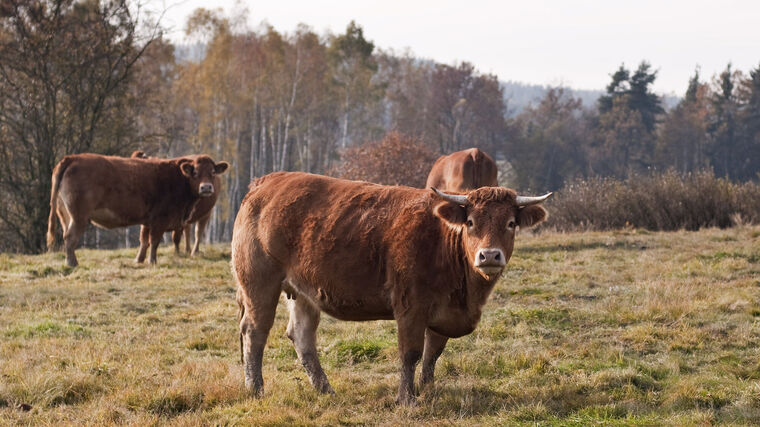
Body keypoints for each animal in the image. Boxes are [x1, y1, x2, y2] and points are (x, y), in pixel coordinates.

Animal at [47, 154, 229, 268]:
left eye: (213, 172)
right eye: (195, 172)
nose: (206, 187)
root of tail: (72, 158)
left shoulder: (148, 220)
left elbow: (144, 240)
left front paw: (139, 260)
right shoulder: (160, 219)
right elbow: (154, 241)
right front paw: (152, 261)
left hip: (65, 214)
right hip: (79, 215)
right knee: (70, 237)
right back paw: (72, 263)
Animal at [229, 171, 548, 404]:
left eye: (510, 223)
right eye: (470, 221)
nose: (489, 255)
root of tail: (267, 182)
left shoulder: (442, 313)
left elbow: (433, 353)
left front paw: (427, 388)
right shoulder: (410, 307)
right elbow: (411, 353)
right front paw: (407, 399)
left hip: (303, 292)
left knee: (302, 337)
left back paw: (325, 390)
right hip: (259, 284)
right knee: (255, 332)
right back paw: (255, 389)